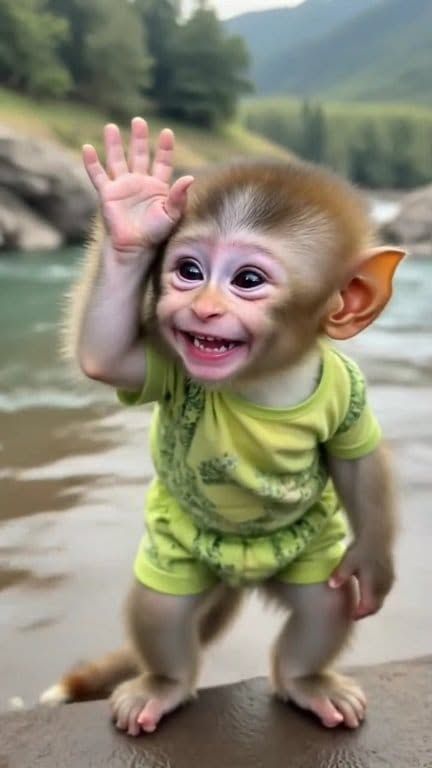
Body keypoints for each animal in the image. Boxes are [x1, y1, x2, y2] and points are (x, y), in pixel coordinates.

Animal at [41, 118, 405, 736]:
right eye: (188, 271)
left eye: (247, 279)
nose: (205, 309)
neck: (264, 382)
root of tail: (241, 580)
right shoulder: (168, 363)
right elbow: (108, 356)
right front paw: (132, 210)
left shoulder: (345, 387)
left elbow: (359, 465)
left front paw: (373, 567)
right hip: (178, 553)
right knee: (161, 612)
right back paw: (163, 686)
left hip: (308, 554)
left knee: (322, 606)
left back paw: (306, 682)